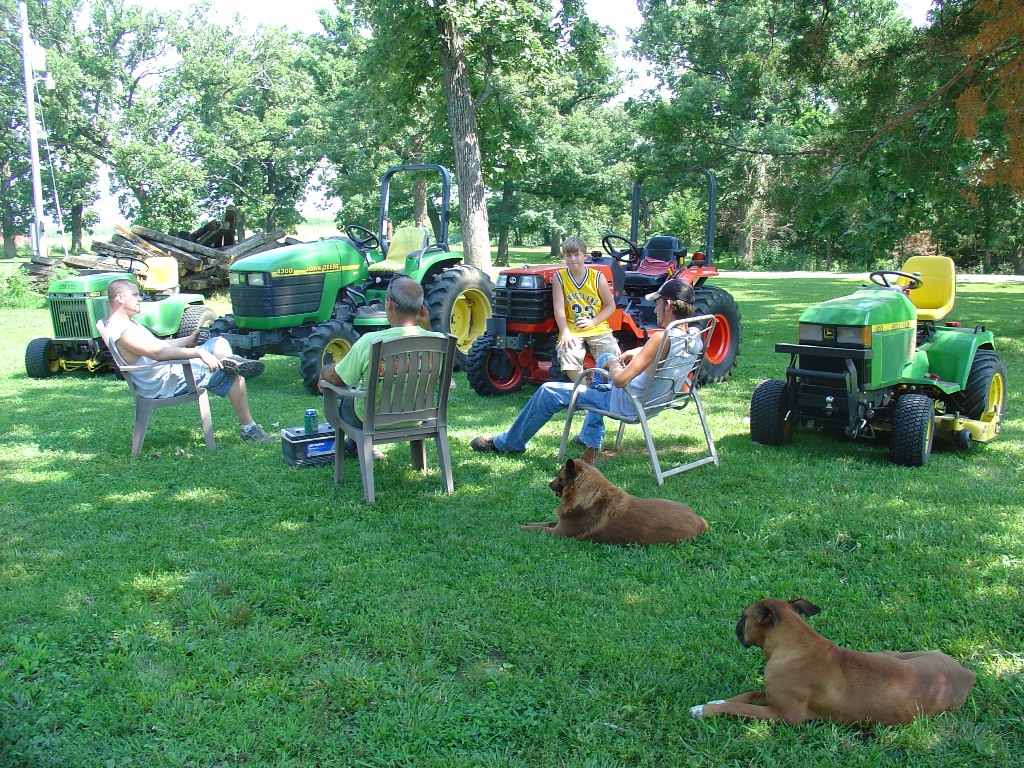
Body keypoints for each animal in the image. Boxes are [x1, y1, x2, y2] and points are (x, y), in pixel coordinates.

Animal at [519, 447, 707, 545]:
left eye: (558, 476)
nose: (549, 484)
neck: (588, 494)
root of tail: (701, 522)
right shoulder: (560, 523)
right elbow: (545, 522)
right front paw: (529, 522)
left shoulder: (560, 533)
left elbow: (539, 529)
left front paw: (521, 527)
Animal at [690, 599, 976, 725]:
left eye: (743, 616)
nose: (736, 626)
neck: (797, 644)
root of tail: (966, 674)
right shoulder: (771, 695)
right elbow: (747, 694)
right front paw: (714, 702)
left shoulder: (784, 715)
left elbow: (742, 707)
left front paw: (705, 710)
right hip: (902, 655)